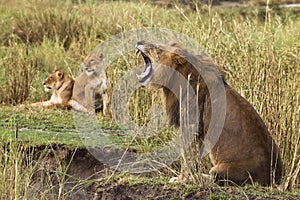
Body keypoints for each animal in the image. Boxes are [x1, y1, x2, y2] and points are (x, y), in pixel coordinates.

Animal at [137, 40, 284, 186]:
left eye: (157, 48)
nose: (139, 42)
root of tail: (274, 179)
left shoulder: (190, 125)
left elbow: (186, 156)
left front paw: (181, 179)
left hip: (220, 169)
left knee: (215, 179)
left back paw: (198, 177)